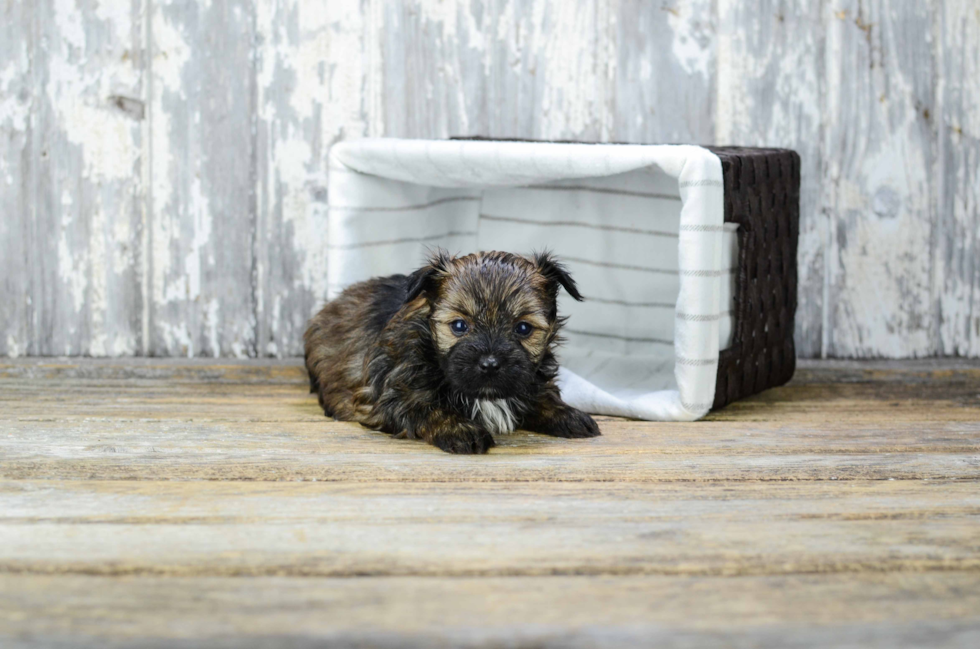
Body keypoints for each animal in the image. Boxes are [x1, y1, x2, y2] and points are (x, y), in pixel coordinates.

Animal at [304, 251, 596, 454]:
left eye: (523, 328)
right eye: (459, 326)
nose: (490, 363)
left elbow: (542, 396)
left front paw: (568, 415)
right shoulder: (391, 395)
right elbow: (429, 408)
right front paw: (462, 429)